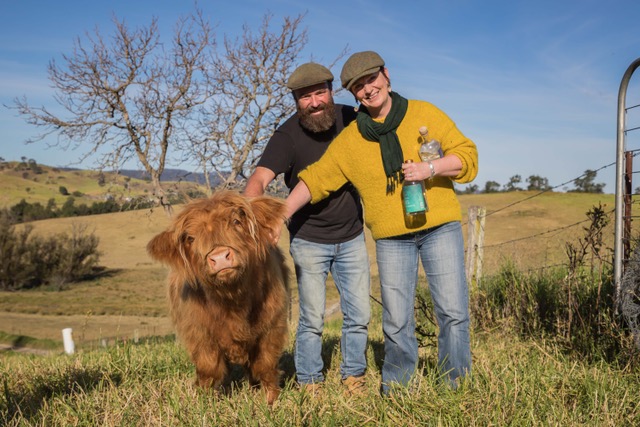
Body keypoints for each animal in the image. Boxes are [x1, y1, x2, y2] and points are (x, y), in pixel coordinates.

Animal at [146, 191, 288, 404]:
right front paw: (204, 402)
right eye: (190, 238)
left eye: (236, 221)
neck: (232, 300)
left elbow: (265, 365)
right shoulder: (199, 333)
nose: (220, 257)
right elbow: (209, 369)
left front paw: (270, 400)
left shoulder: (272, 327)